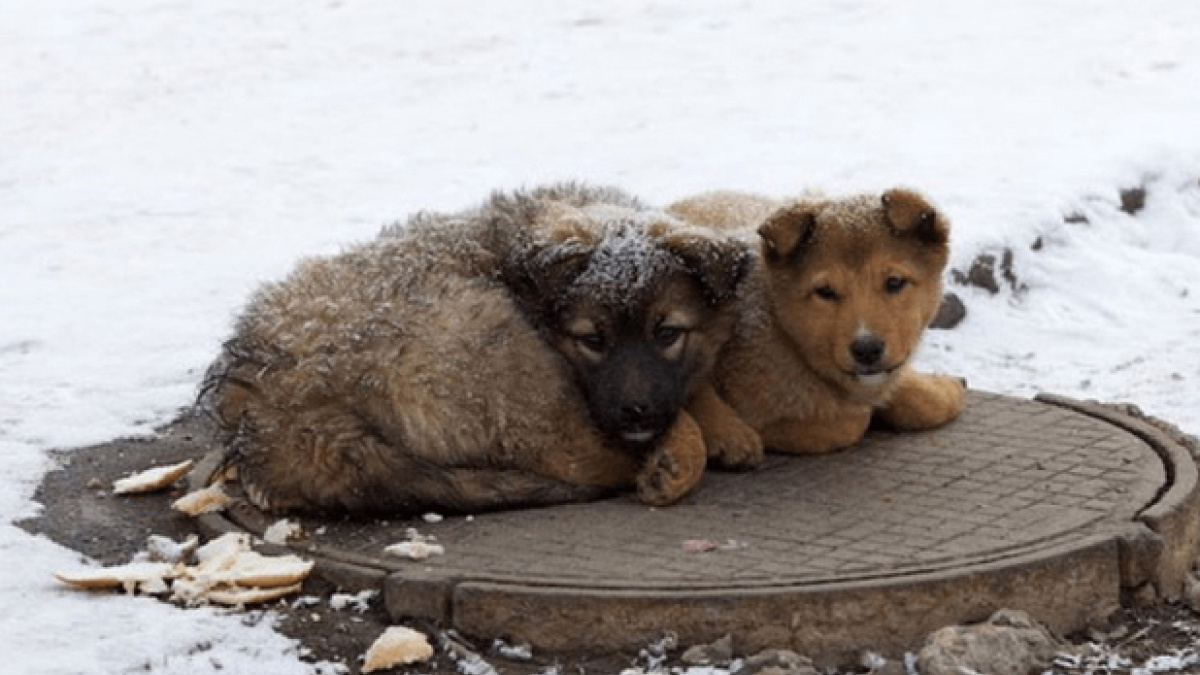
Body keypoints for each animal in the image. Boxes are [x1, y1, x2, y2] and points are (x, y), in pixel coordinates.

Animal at [676, 186, 964, 458]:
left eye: (894, 282)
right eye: (825, 292)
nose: (867, 350)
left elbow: (920, 401)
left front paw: (945, 387)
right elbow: (852, 422)